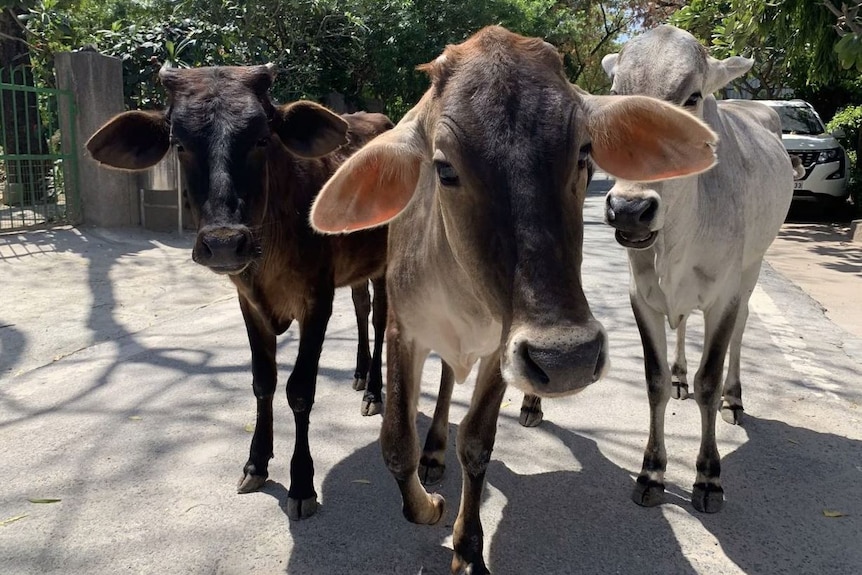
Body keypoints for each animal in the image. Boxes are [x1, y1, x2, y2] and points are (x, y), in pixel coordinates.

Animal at [84, 65, 392, 520]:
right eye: (179, 144)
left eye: (262, 138)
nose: (225, 243)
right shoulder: (249, 303)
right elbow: (263, 382)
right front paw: (256, 463)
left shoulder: (316, 300)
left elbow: (300, 390)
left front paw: (302, 483)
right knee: (360, 306)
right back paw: (357, 375)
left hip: (387, 263)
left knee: (380, 317)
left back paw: (373, 390)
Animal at [314, 24, 720, 572]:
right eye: (444, 168)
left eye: (584, 152)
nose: (569, 358)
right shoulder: (404, 330)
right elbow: (397, 443)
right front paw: (432, 504)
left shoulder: (502, 350)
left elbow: (477, 441)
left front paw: (467, 547)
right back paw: (434, 454)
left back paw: (522, 408)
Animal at [600, 24, 796, 516]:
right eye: (616, 96)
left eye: (691, 98)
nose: (629, 209)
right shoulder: (642, 295)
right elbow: (652, 382)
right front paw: (651, 470)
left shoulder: (723, 296)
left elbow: (709, 380)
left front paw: (708, 477)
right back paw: (679, 375)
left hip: (752, 268)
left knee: (742, 327)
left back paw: (734, 398)